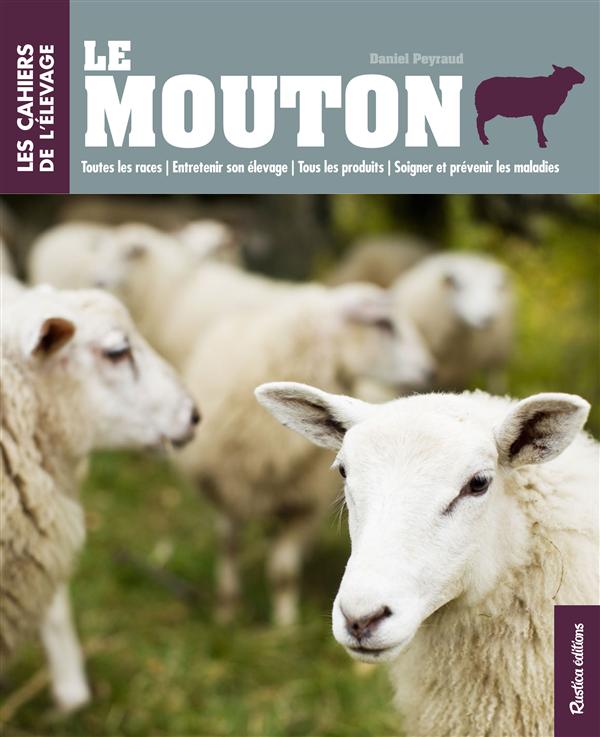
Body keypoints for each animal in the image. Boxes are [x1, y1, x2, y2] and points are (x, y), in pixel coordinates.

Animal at [174, 284, 434, 626]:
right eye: (384, 324)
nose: (430, 370)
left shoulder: (302, 504)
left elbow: (284, 571)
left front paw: (285, 624)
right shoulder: (228, 491)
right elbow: (229, 547)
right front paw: (227, 610)